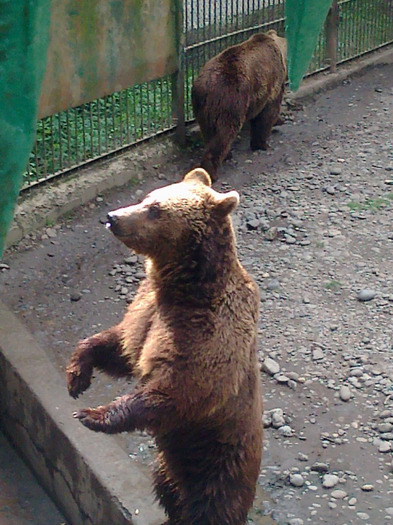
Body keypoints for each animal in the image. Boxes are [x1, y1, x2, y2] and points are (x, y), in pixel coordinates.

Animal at [66, 169, 264, 524]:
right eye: (146, 197)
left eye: (155, 209)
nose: (113, 217)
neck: (184, 288)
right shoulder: (147, 312)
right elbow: (121, 346)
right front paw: (77, 376)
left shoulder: (207, 334)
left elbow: (177, 389)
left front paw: (91, 414)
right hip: (168, 464)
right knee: (168, 488)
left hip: (219, 461)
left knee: (214, 507)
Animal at [191, 31, 286, 182]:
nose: (283, 121)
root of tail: (205, 85)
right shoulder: (271, 84)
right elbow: (267, 114)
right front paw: (262, 143)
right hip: (230, 100)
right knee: (225, 133)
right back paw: (212, 170)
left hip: (202, 108)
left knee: (209, 132)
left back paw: (225, 155)